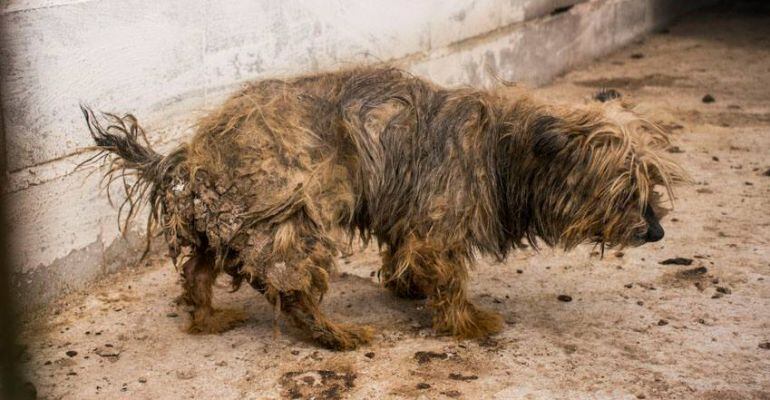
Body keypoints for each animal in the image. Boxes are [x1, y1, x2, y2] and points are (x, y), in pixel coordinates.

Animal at [82, 67, 684, 348]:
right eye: (625, 188)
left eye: (652, 182)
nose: (657, 233)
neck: (504, 147)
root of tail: (191, 154)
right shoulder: (438, 227)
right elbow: (450, 279)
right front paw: (468, 323)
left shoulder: (409, 215)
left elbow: (405, 255)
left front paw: (406, 286)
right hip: (300, 216)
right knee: (289, 287)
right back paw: (334, 335)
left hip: (227, 223)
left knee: (198, 273)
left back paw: (208, 318)